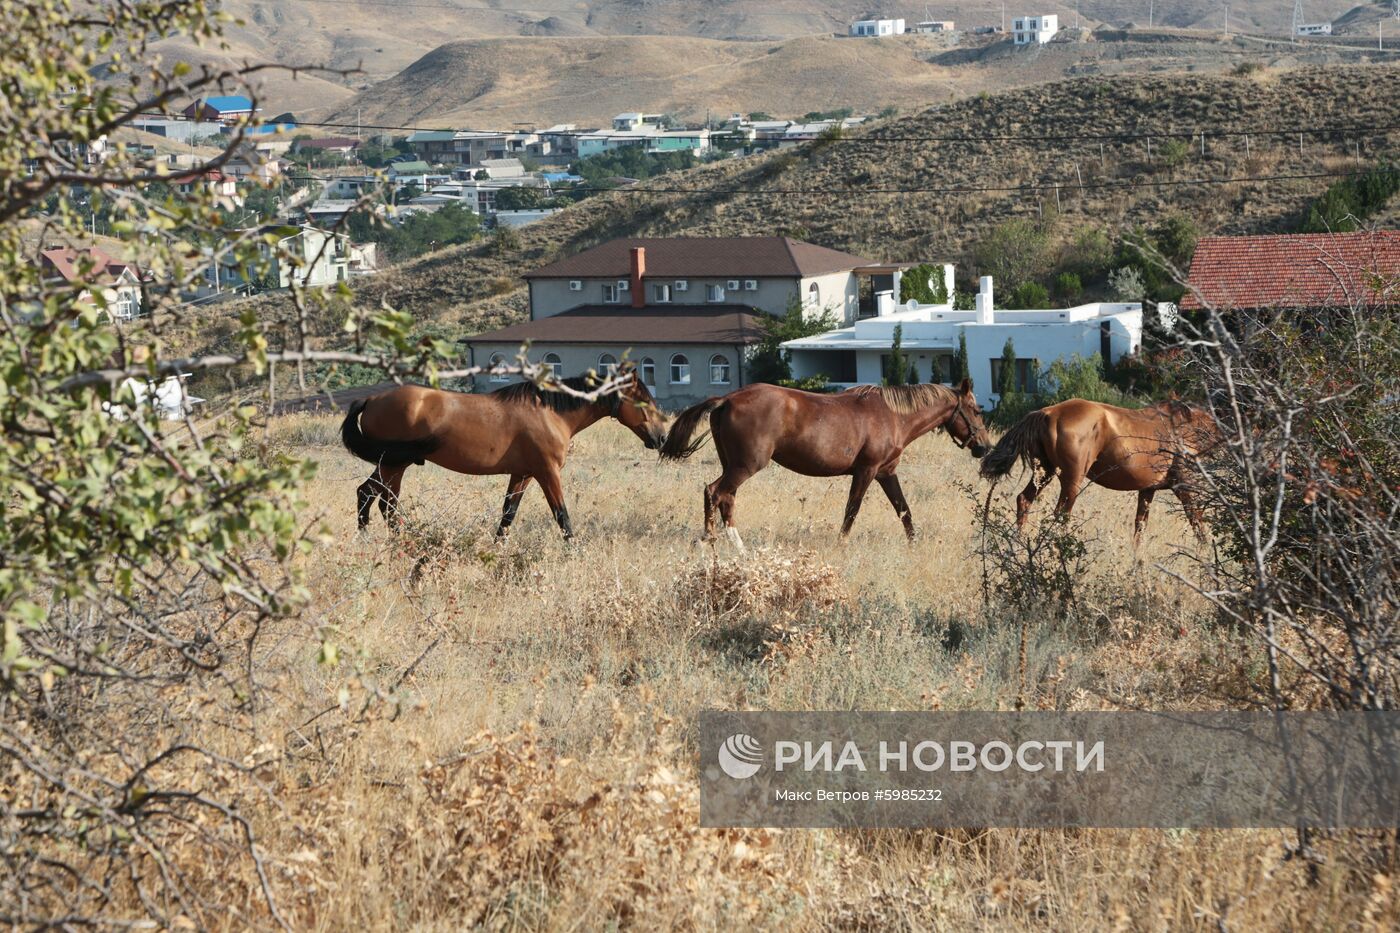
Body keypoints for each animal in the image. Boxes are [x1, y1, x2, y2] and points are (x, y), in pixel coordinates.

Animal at [338, 367, 666, 535]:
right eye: (644, 402)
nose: (661, 438)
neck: (550, 412)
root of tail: (371, 399)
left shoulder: (522, 474)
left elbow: (508, 514)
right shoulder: (547, 473)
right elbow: (562, 516)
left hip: (392, 466)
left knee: (374, 498)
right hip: (393, 465)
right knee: (379, 501)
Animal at [660, 375, 991, 540]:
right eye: (977, 411)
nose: (984, 448)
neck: (892, 415)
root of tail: (727, 399)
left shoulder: (886, 473)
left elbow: (904, 512)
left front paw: (914, 544)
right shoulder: (866, 471)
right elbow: (851, 512)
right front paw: (841, 544)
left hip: (732, 465)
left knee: (726, 499)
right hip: (745, 465)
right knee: (714, 492)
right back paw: (710, 541)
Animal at [980, 395, 1220, 540]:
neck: (1186, 426)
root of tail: (1046, 413)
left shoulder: (1147, 490)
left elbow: (1139, 528)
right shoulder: (1184, 486)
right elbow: (1197, 523)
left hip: (1045, 473)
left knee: (1024, 500)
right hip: (1071, 480)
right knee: (1060, 515)